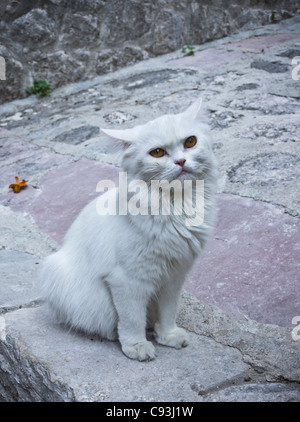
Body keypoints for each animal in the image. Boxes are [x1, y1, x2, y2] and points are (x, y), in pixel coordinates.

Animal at [41, 98, 218, 360]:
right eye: (157, 152)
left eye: (190, 142)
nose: (181, 162)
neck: (175, 205)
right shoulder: (128, 280)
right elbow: (132, 319)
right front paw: (137, 346)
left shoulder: (173, 276)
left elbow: (168, 313)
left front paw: (168, 336)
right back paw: (113, 334)